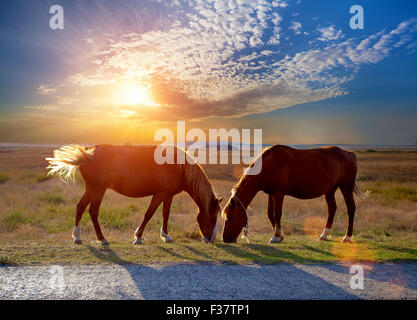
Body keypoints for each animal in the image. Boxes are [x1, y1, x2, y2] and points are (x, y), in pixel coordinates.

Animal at [46, 145, 223, 245]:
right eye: (213, 217)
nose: (211, 239)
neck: (178, 167)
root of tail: (87, 155)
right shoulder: (159, 194)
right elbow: (149, 214)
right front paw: (138, 237)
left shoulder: (168, 196)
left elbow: (165, 215)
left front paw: (166, 236)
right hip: (98, 190)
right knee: (93, 211)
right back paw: (102, 239)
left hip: (91, 189)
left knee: (80, 207)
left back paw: (77, 237)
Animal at [221, 146, 360, 244]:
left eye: (230, 218)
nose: (225, 239)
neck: (269, 165)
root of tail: (349, 154)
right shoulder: (270, 194)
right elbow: (270, 213)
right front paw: (280, 235)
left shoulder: (279, 194)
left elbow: (277, 214)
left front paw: (275, 237)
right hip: (330, 190)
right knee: (332, 209)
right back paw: (324, 235)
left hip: (346, 188)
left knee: (351, 209)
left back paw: (347, 237)